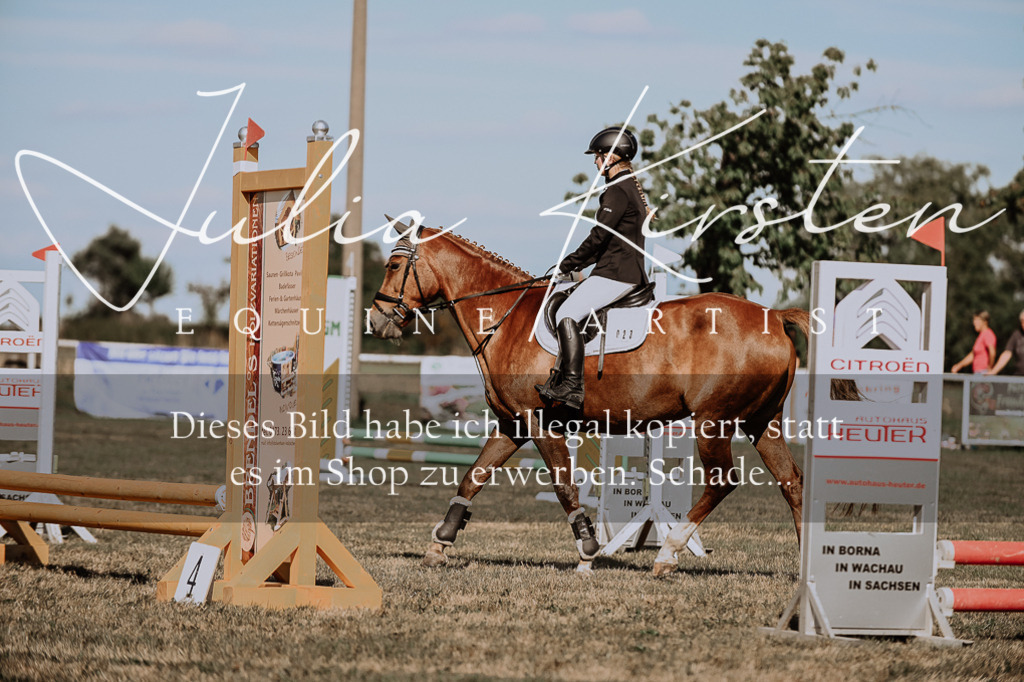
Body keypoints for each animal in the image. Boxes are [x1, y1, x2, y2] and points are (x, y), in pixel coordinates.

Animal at [367, 223, 808, 576]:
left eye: (393, 266)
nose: (375, 321)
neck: (506, 316)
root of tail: (774, 316)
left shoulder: (540, 422)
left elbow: (564, 486)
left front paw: (588, 551)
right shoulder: (513, 424)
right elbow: (473, 477)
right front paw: (439, 543)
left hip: (713, 422)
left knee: (722, 481)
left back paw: (667, 553)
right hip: (761, 423)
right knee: (792, 483)